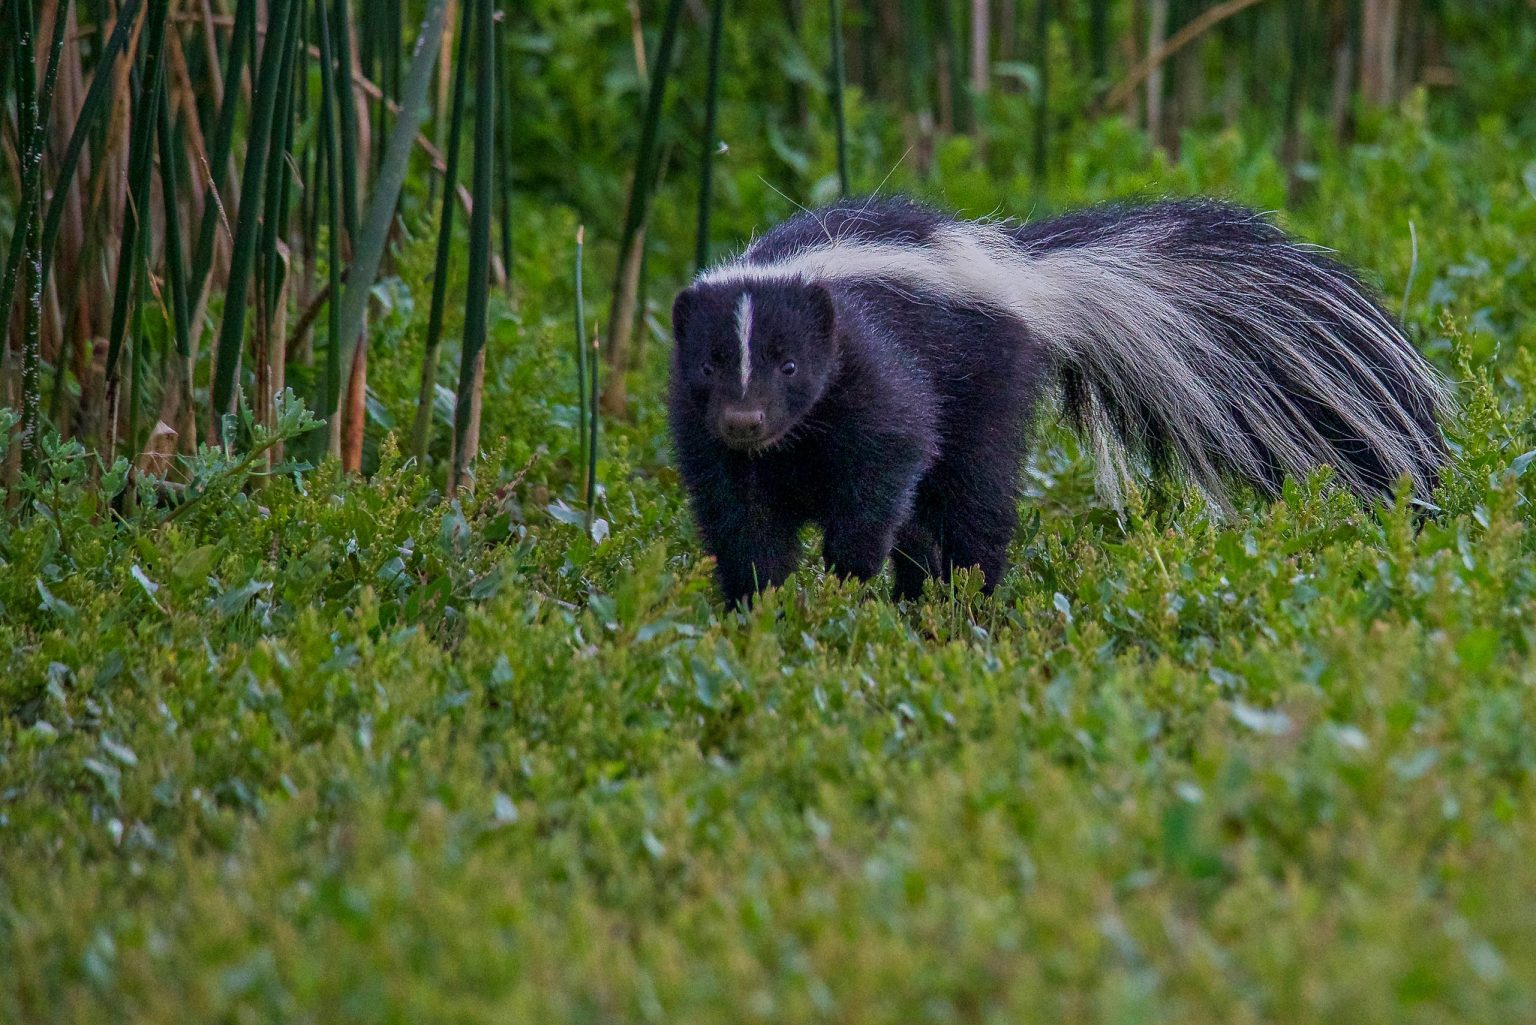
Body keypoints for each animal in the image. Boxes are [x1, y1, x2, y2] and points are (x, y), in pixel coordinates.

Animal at [666, 196, 1443, 605]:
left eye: (791, 364)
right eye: (708, 364)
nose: (745, 420)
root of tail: (1024, 277)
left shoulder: (875, 369)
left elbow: (891, 456)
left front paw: (846, 578)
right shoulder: (709, 438)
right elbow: (742, 517)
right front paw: (760, 608)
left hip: (986, 378)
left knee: (971, 499)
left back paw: (964, 598)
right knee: (928, 518)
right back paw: (926, 600)